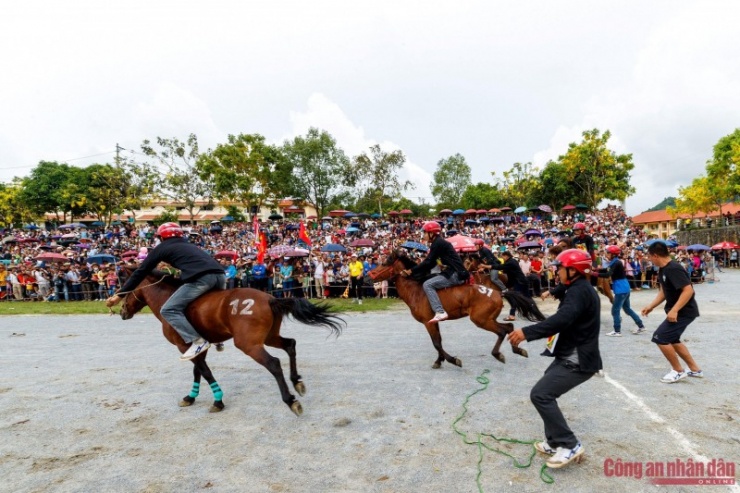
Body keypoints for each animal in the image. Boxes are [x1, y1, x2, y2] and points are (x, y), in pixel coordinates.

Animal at [116, 264, 346, 414]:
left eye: (126, 288)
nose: (121, 311)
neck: (167, 299)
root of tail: (270, 298)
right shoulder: (197, 347)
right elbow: (197, 371)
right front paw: (191, 397)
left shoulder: (183, 346)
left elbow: (205, 372)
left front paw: (218, 400)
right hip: (269, 337)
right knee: (290, 344)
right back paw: (296, 381)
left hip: (249, 344)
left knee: (273, 363)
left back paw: (290, 399)